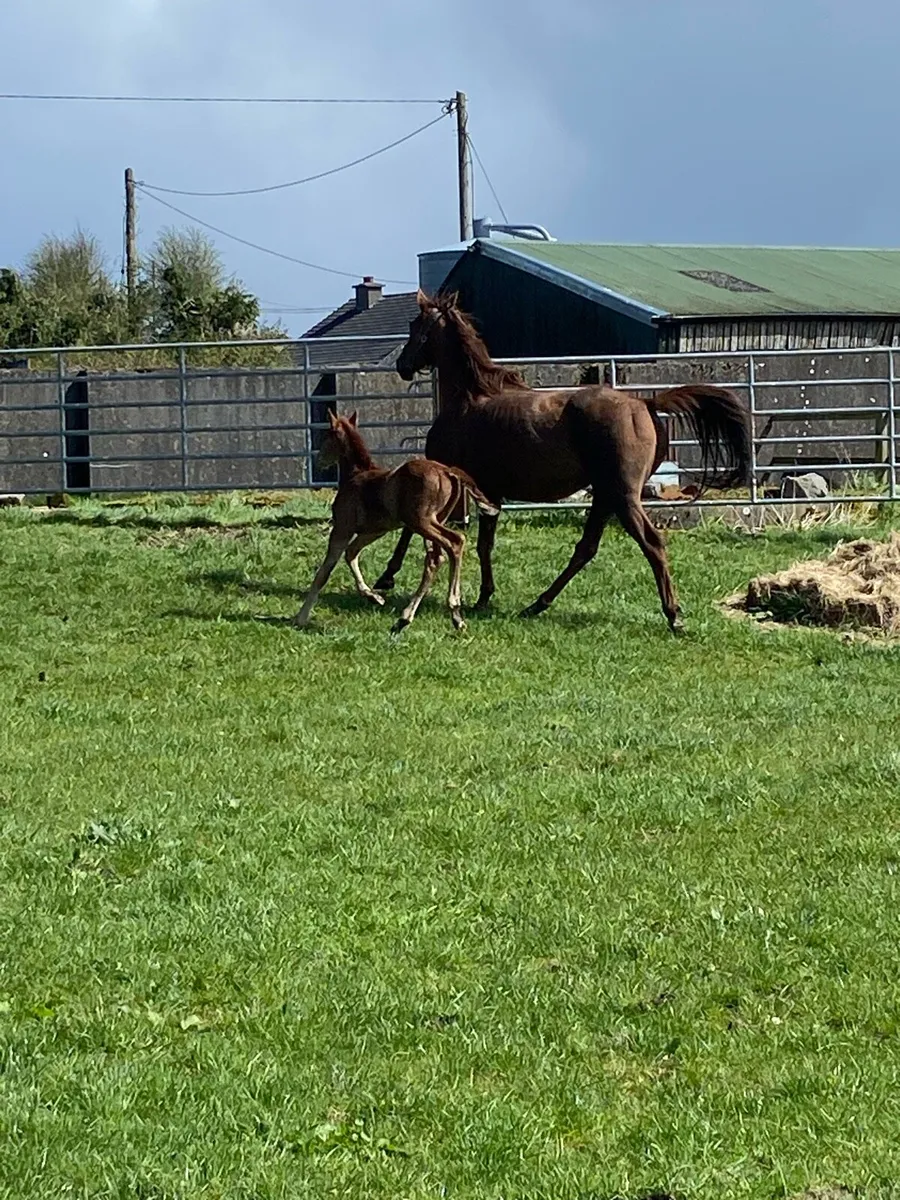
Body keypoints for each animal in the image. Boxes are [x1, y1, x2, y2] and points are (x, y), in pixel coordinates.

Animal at [293, 410, 499, 633]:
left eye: (326, 436)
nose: (320, 460)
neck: (355, 474)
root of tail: (448, 471)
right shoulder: (374, 531)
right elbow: (351, 553)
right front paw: (374, 597)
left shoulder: (342, 528)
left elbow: (324, 572)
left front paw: (301, 617)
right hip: (435, 521)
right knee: (435, 559)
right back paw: (421, 618)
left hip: (422, 521)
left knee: (455, 542)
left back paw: (449, 609)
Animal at [373, 291, 750, 633]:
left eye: (416, 325)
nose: (402, 366)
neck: (469, 399)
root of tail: (645, 404)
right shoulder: (487, 491)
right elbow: (484, 544)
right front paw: (484, 596)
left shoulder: (441, 476)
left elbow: (411, 527)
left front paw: (386, 578)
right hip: (605, 496)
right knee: (586, 548)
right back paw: (537, 604)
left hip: (623, 497)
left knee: (651, 543)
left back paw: (673, 616)